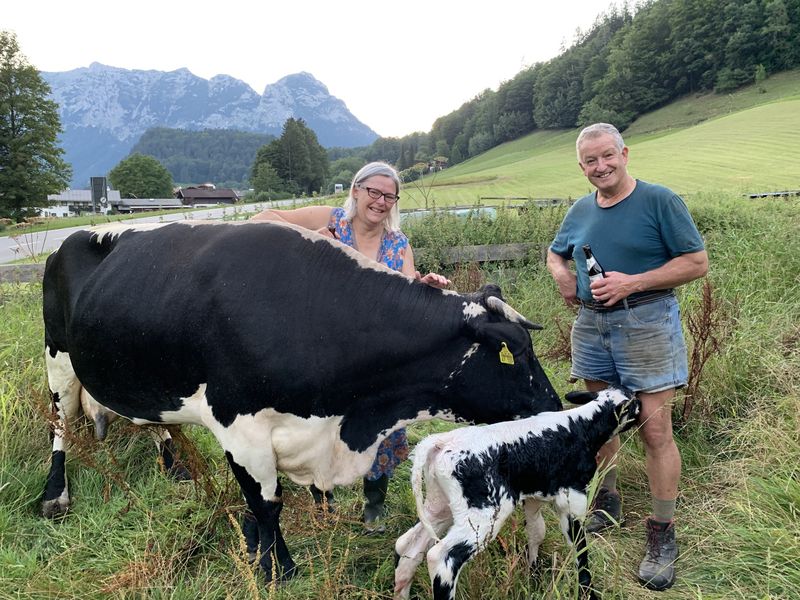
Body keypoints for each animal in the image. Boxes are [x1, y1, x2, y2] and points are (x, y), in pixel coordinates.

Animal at [39, 219, 564, 580]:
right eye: (513, 353)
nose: (555, 408)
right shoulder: (239, 427)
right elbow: (266, 505)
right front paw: (279, 568)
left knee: (151, 422)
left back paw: (173, 466)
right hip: (57, 358)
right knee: (60, 426)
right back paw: (54, 494)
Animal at [392, 386, 636, 596]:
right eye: (634, 403)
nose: (640, 407)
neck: (581, 426)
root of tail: (441, 441)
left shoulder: (534, 497)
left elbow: (537, 532)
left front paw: (534, 577)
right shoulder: (573, 497)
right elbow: (579, 549)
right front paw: (587, 591)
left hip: (442, 504)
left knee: (407, 546)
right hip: (484, 515)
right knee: (441, 557)